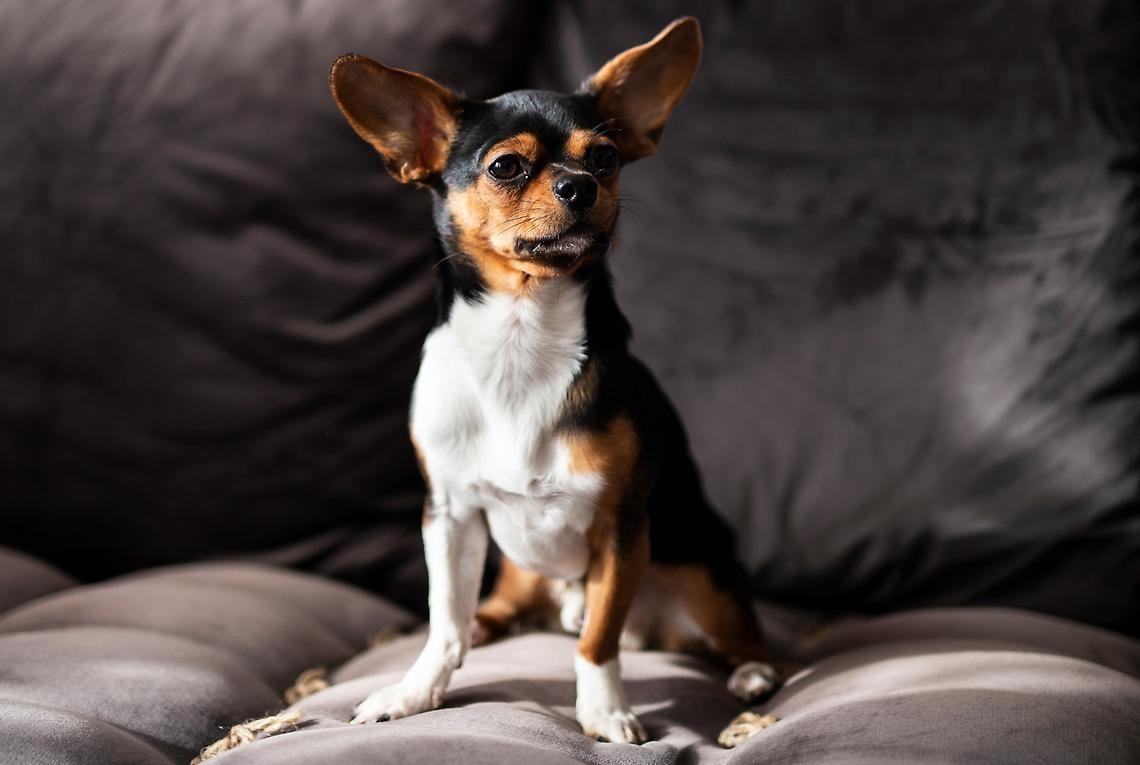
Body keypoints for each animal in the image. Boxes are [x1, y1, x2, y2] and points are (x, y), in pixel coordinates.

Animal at [330, 16, 779, 745]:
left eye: (605, 158)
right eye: (506, 166)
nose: (579, 186)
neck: (521, 336)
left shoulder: (622, 527)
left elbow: (599, 640)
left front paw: (604, 711)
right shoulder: (449, 515)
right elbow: (445, 621)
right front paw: (413, 691)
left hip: (699, 573)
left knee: (743, 637)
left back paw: (753, 675)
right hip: (516, 569)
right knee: (482, 614)